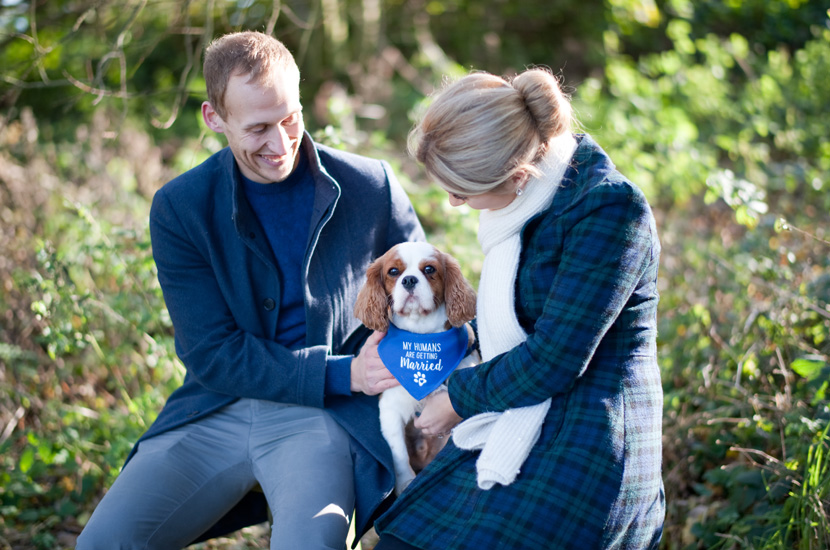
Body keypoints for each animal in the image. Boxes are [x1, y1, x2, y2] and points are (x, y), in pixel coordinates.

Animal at [354, 243, 478, 496]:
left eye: (429, 269)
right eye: (393, 272)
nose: (409, 280)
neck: (421, 339)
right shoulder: (390, 410)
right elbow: (398, 453)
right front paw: (405, 483)